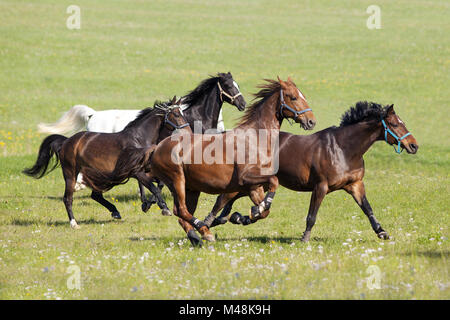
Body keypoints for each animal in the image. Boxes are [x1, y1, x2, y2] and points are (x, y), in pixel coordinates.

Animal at [22, 99, 188, 229]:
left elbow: (157, 185)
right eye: (176, 114)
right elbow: (154, 188)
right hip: (70, 174)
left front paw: (147, 204)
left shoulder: (146, 171)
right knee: (67, 198)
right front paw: (164, 208)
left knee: (95, 196)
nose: (187, 130)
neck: (139, 139)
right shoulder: (137, 172)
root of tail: (66, 142)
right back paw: (74, 223)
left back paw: (115, 212)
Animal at [148, 77, 316, 245]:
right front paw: (254, 210)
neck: (256, 138)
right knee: (180, 210)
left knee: (183, 216)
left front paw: (244, 215)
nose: (311, 121)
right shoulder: (245, 178)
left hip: (192, 189)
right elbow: (274, 182)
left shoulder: (254, 187)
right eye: (293, 97)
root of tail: (157, 147)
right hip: (177, 181)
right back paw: (204, 230)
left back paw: (197, 236)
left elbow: (265, 212)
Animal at [207, 101, 418, 241]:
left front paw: (381, 232)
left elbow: (367, 208)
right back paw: (211, 224)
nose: (414, 146)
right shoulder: (320, 187)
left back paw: (232, 218)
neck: (344, 149)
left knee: (229, 206)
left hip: (254, 185)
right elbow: (311, 216)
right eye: (395, 124)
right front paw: (304, 239)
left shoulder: (355, 185)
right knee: (222, 200)